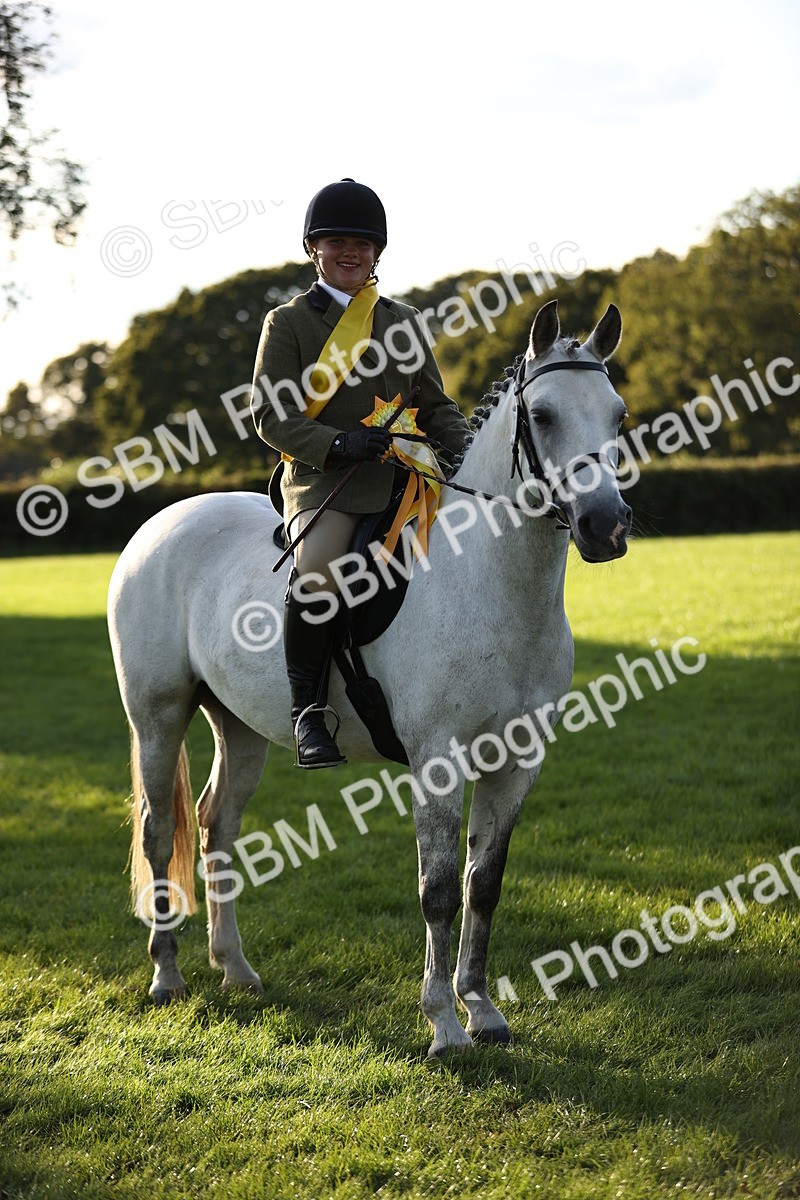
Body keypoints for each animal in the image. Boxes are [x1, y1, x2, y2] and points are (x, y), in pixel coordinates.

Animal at [107, 298, 631, 1057]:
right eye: (543, 414)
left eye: (618, 414)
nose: (605, 526)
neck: (492, 584)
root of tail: (161, 523)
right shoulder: (438, 760)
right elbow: (438, 889)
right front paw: (444, 1024)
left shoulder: (517, 761)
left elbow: (484, 883)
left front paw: (483, 1010)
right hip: (158, 714)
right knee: (158, 830)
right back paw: (167, 977)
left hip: (239, 724)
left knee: (216, 824)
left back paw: (235, 968)